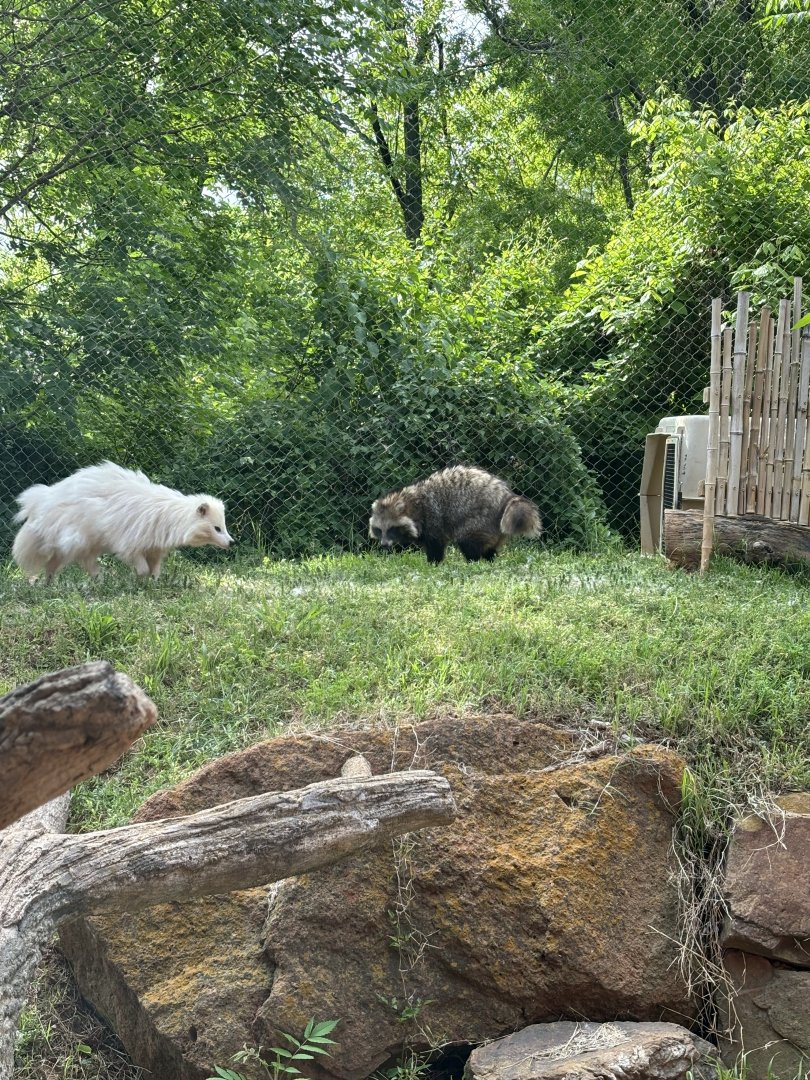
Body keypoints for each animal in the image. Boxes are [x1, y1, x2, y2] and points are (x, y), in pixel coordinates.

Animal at [369, 465, 542, 565]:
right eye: (379, 530)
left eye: (391, 529)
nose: (384, 545)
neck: (412, 503)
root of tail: (506, 496)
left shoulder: (433, 517)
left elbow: (435, 544)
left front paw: (433, 564)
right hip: (494, 527)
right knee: (489, 546)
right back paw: (489, 560)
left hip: (480, 518)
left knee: (468, 541)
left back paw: (474, 562)